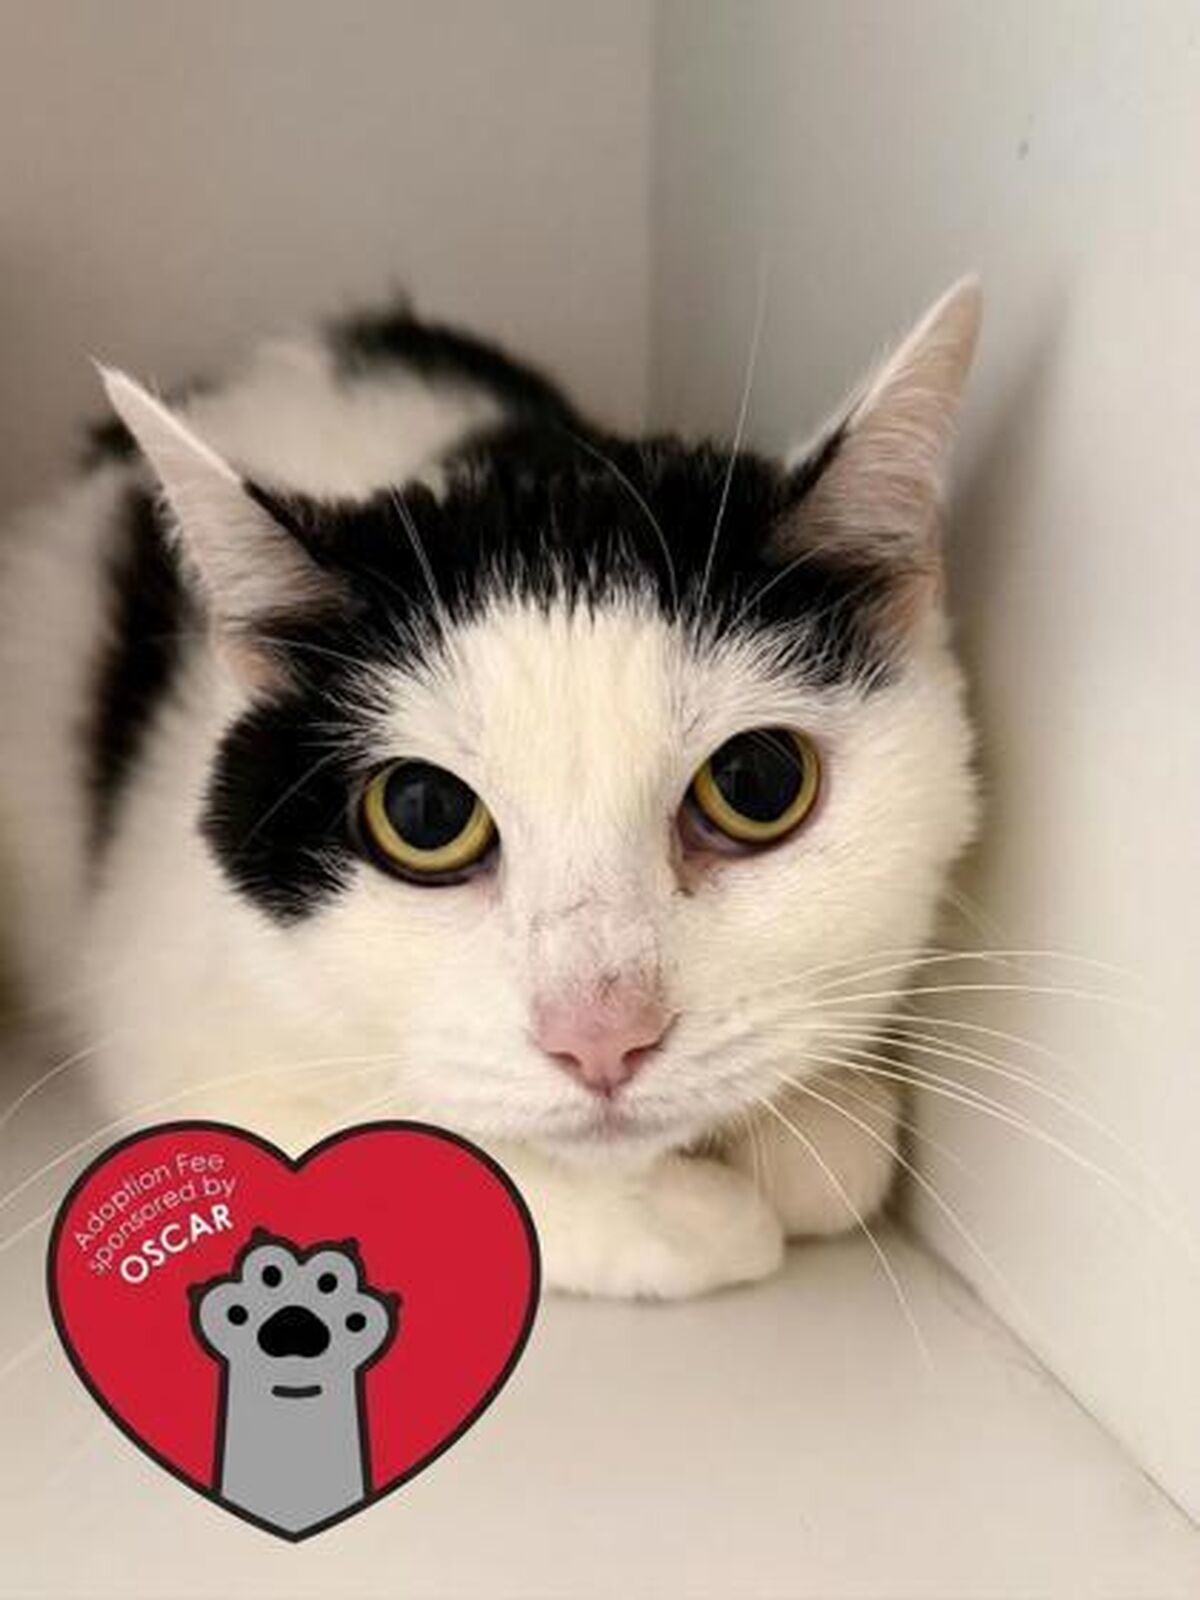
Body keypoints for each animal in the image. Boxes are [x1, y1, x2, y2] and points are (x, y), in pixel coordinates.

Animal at [0, 282, 980, 1299]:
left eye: (756, 784)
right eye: (425, 815)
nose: (601, 1037)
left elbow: (850, 1152)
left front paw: (807, 1122)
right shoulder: (170, 1019)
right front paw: (687, 1215)